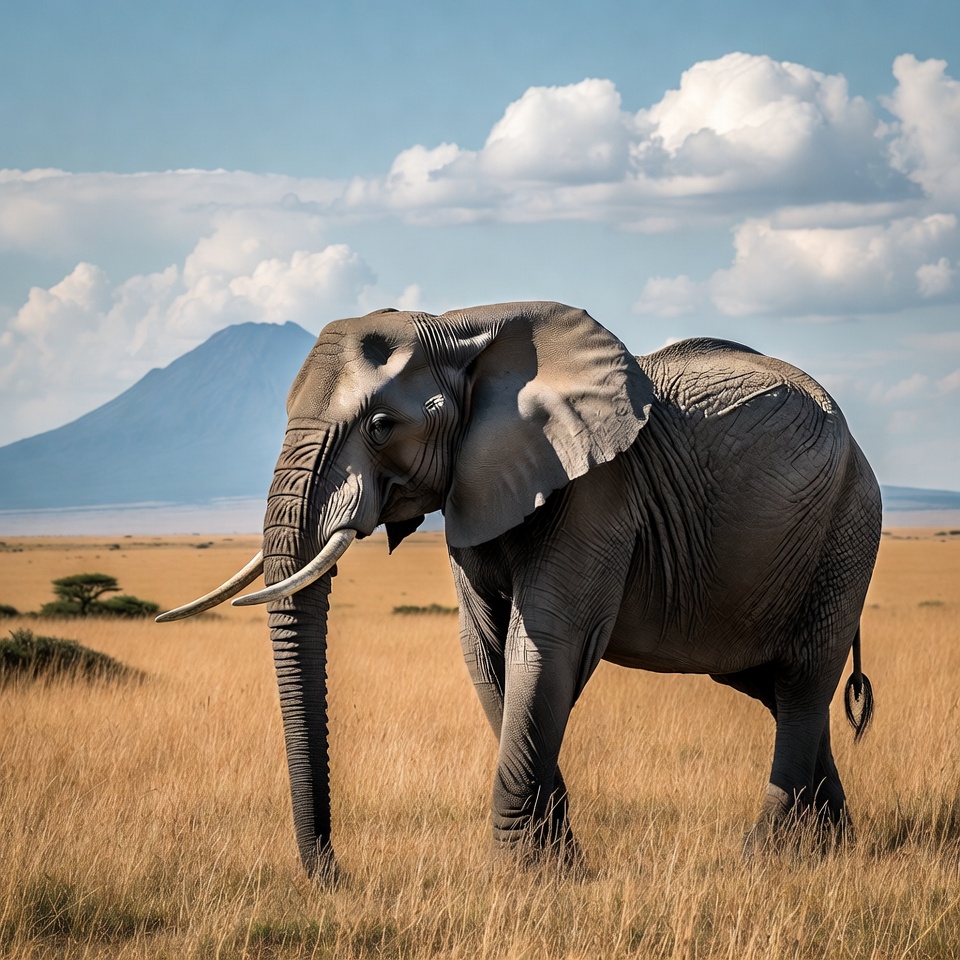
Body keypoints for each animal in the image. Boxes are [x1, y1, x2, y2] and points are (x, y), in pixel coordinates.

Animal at [158, 301, 880, 878]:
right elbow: (486, 652)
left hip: (848, 528)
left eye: (381, 426)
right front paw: (558, 866)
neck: (463, 329)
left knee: (802, 679)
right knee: (774, 688)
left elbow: (545, 647)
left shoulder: (599, 490)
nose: (335, 875)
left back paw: (767, 856)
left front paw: (517, 876)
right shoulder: (475, 490)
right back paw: (836, 848)